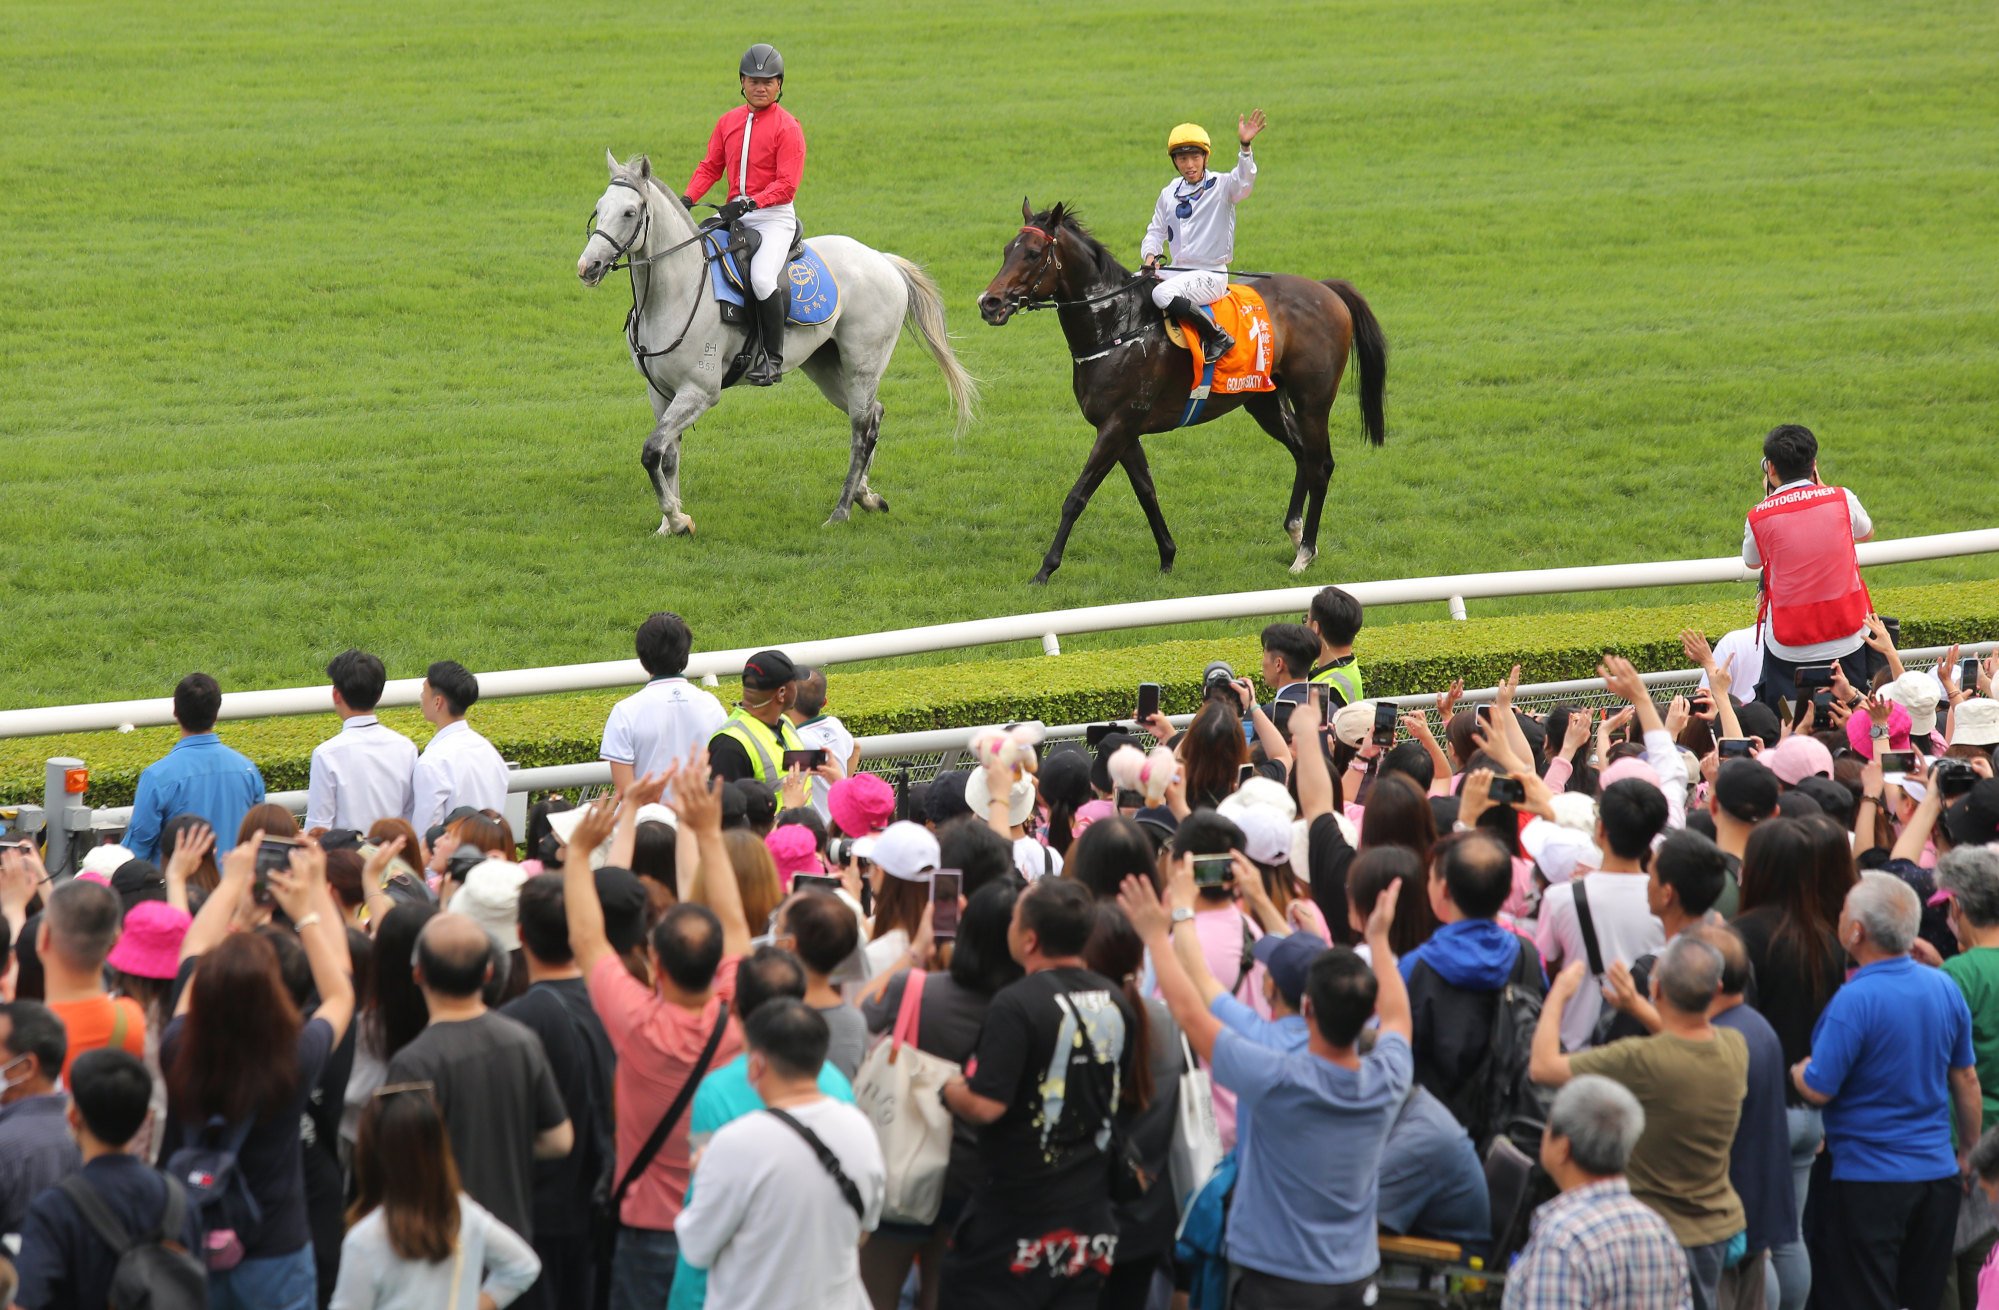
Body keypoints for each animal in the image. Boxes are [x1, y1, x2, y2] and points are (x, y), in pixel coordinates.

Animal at [975, 197, 1383, 580]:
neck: (1117, 327)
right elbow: (1146, 491)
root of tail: (1326, 290)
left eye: (1032, 253)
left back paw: (1305, 553)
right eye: (1006, 250)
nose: (989, 302)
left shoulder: (1117, 425)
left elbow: (1077, 496)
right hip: (1264, 401)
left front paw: (1045, 570)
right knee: (1302, 455)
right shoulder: (1122, 430)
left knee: (1320, 464)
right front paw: (1168, 557)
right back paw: (1295, 533)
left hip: (1313, 400)